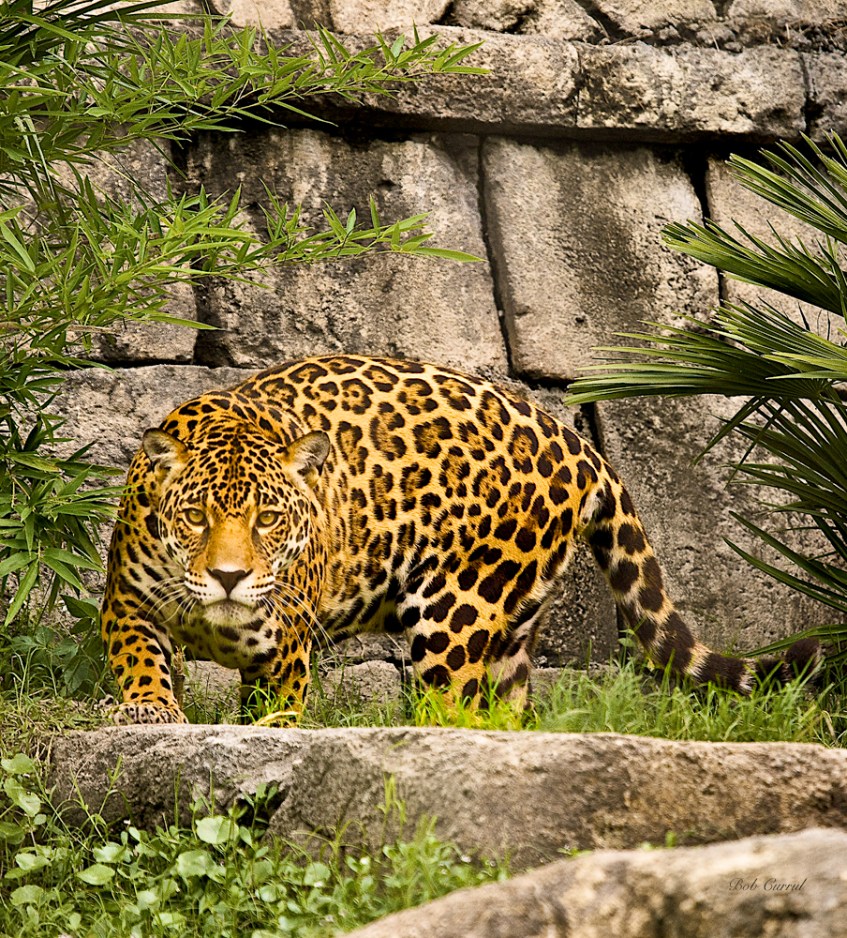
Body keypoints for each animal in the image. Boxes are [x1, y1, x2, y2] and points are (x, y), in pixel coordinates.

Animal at [101, 354, 819, 724]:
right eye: (196, 517)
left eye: (268, 521)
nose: (229, 577)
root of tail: (578, 441)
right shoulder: (127, 601)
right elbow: (139, 657)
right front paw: (149, 709)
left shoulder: (286, 645)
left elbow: (278, 708)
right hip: (514, 626)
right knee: (503, 713)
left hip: (457, 607)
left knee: (450, 706)